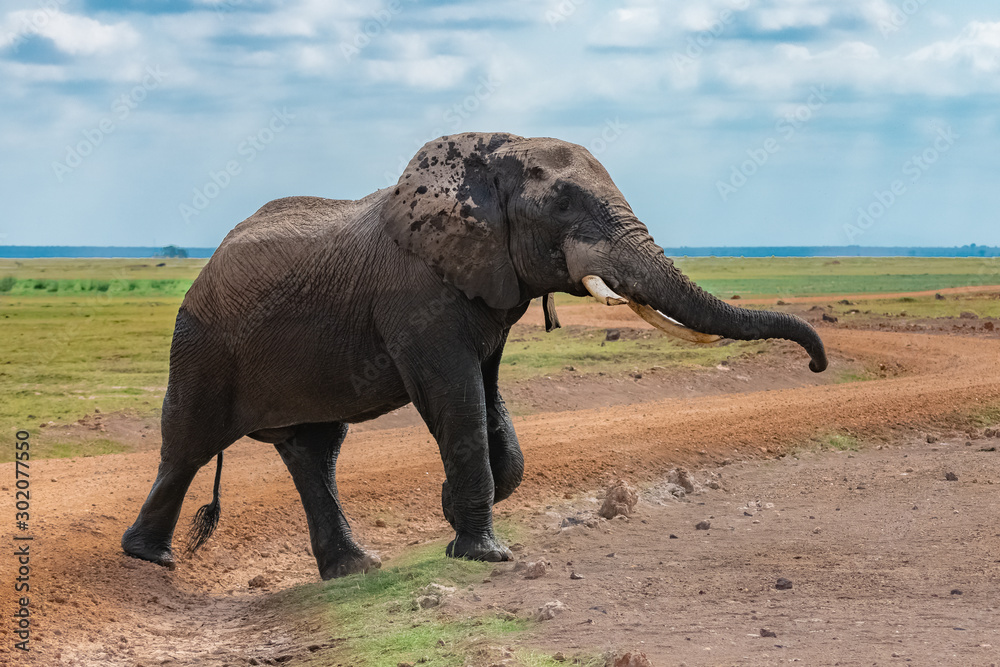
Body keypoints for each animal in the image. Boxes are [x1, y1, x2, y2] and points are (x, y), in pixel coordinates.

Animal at [121, 132, 827, 580]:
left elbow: (489, 402)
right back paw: (148, 559)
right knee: (187, 445)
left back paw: (354, 569)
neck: (491, 155)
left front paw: (456, 515)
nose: (819, 366)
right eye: (563, 205)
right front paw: (485, 553)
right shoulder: (416, 297)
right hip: (201, 344)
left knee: (314, 451)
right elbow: (454, 399)